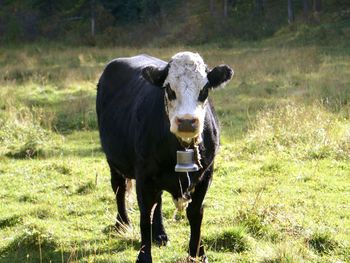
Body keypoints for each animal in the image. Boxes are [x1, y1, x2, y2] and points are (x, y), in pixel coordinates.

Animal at [96, 50, 232, 262]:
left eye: (205, 89)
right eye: (169, 89)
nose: (187, 122)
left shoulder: (206, 175)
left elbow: (195, 213)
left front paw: (197, 253)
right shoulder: (143, 176)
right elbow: (145, 215)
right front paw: (144, 256)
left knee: (157, 202)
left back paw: (160, 234)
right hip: (114, 160)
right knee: (119, 188)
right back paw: (123, 224)